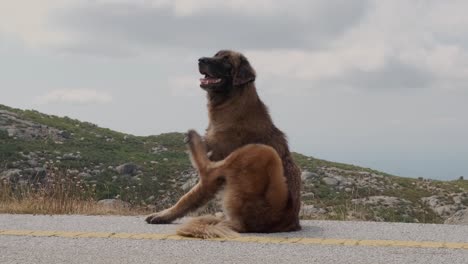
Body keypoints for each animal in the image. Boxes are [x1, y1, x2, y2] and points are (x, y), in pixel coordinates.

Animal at [144, 49, 302, 235]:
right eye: (215, 55)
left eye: (226, 60)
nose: (200, 60)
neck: (232, 103)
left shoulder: (214, 172)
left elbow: (189, 196)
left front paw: (165, 215)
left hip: (260, 152)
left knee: (207, 170)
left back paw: (193, 138)